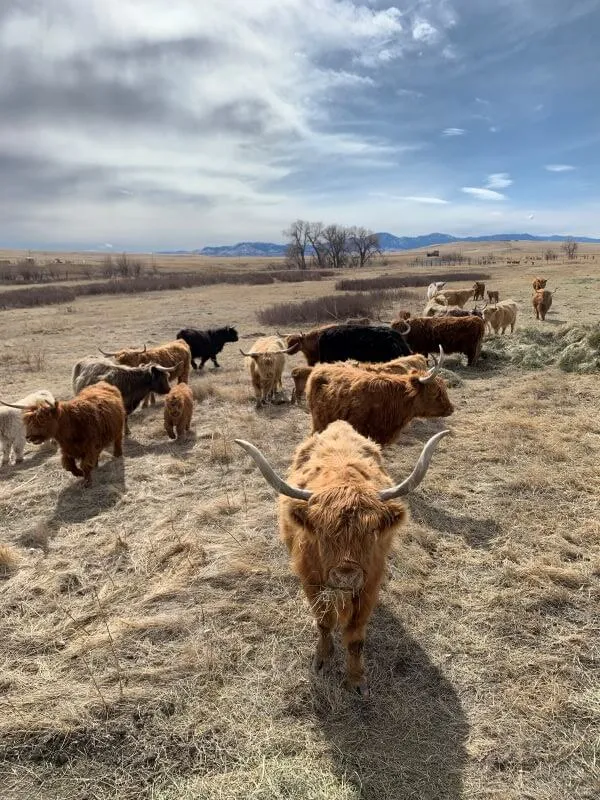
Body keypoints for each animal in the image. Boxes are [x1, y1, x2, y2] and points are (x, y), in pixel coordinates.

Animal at [234, 422, 450, 696]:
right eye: (322, 531)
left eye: (371, 530)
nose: (346, 575)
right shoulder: (312, 581)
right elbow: (324, 623)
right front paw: (323, 659)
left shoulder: (369, 585)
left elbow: (356, 638)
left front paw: (356, 680)